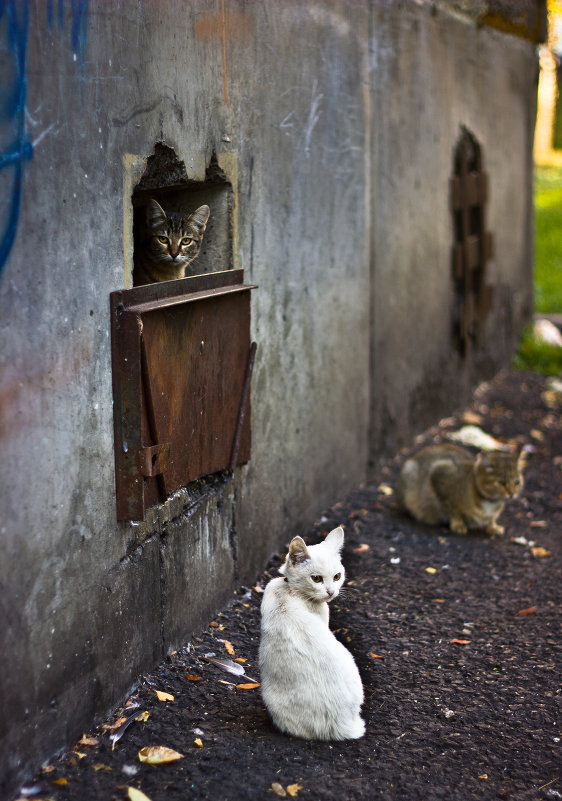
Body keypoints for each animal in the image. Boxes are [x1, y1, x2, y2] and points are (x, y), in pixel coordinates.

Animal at [396, 440, 524, 536]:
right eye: (501, 482)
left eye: (517, 482)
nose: (512, 493)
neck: (490, 504)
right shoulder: (439, 474)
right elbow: (452, 510)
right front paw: (458, 524)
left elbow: (492, 519)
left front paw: (493, 526)